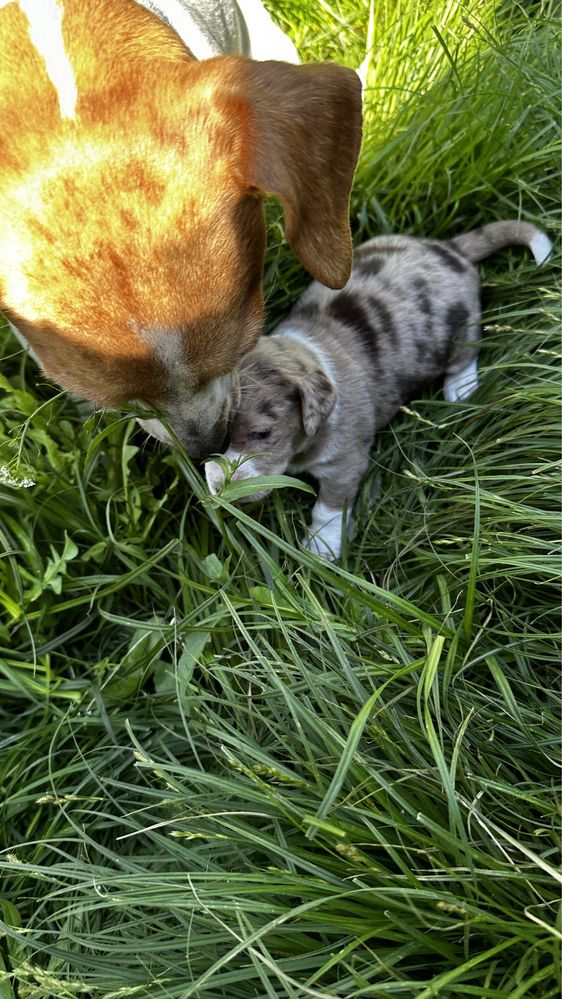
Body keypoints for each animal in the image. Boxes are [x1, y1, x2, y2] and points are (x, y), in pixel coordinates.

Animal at [205, 220, 548, 560]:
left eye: (262, 434)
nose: (220, 489)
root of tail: (448, 248)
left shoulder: (346, 462)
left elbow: (328, 507)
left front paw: (321, 546)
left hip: (461, 326)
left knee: (465, 354)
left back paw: (461, 388)